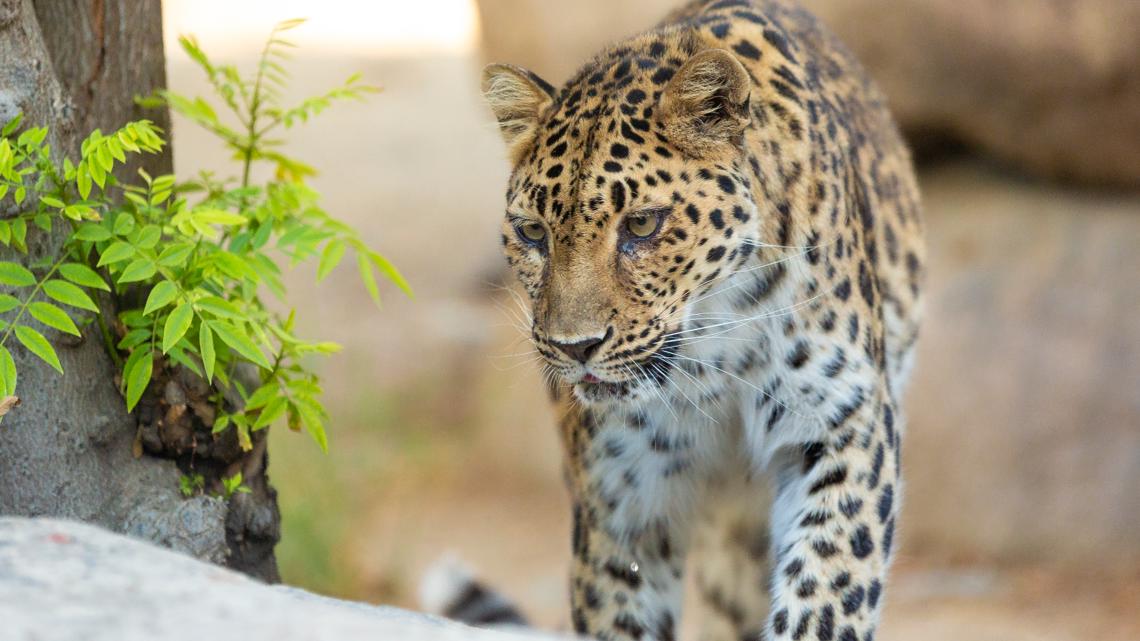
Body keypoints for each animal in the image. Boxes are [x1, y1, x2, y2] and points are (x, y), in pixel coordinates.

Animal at [428, 1, 925, 638]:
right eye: (533, 233)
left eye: (642, 225)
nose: (574, 348)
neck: (717, 347)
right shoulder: (622, 493)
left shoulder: (843, 423)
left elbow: (827, 590)